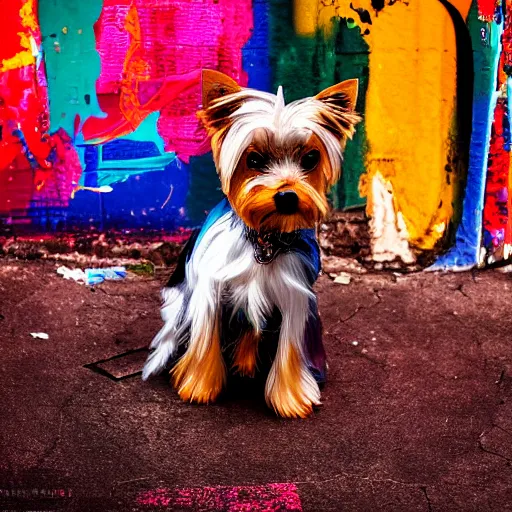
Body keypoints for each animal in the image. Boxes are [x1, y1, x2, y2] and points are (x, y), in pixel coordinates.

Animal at [144, 70, 360, 418]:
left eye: (311, 158)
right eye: (255, 159)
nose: (286, 196)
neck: (264, 239)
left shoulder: (295, 294)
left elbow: (290, 350)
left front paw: (290, 400)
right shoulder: (209, 290)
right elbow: (204, 341)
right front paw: (199, 388)